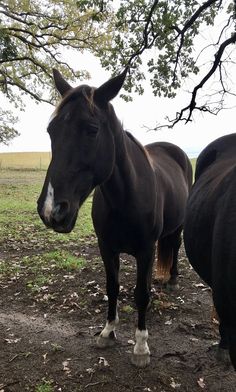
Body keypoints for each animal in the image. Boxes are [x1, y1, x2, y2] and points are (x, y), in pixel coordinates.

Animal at [37, 68, 192, 368]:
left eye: (92, 130)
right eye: (51, 131)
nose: (52, 210)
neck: (126, 198)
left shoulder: (146, 250)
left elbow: (140, 295)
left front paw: (141, 347)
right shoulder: (106, 248)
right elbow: (113, 287)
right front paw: (108, 332)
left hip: (177, 226)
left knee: (175, 246)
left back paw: (172, 279)